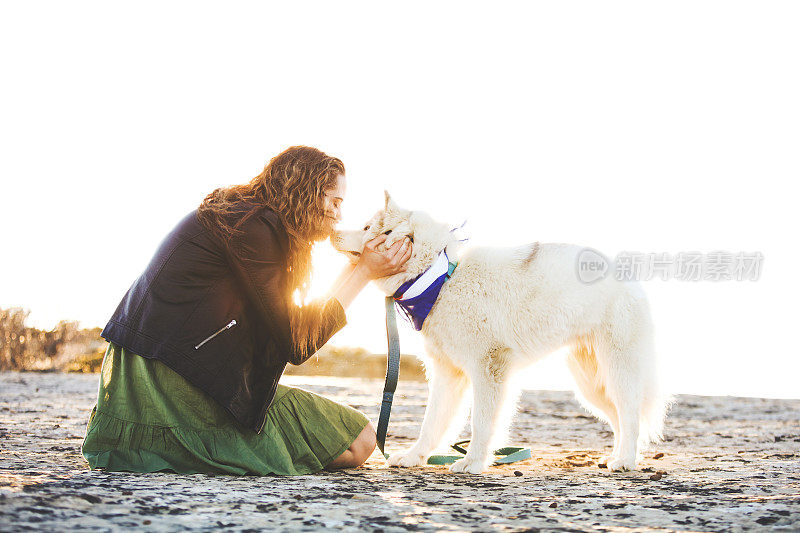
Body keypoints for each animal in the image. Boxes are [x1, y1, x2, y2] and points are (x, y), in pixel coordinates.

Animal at [332, 193, 668, 472]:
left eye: (366, 227)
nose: (332, 232)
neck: (441, 279)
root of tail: (627, 276)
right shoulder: (448, 374)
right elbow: (433, 422)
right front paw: (415, 457)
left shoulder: (489, 368)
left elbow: (480, 422)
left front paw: (474, 462)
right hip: (592, 383)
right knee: (620, 416)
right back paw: (618, 456)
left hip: (617, 370)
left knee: (630, 413)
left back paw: (625, 461)